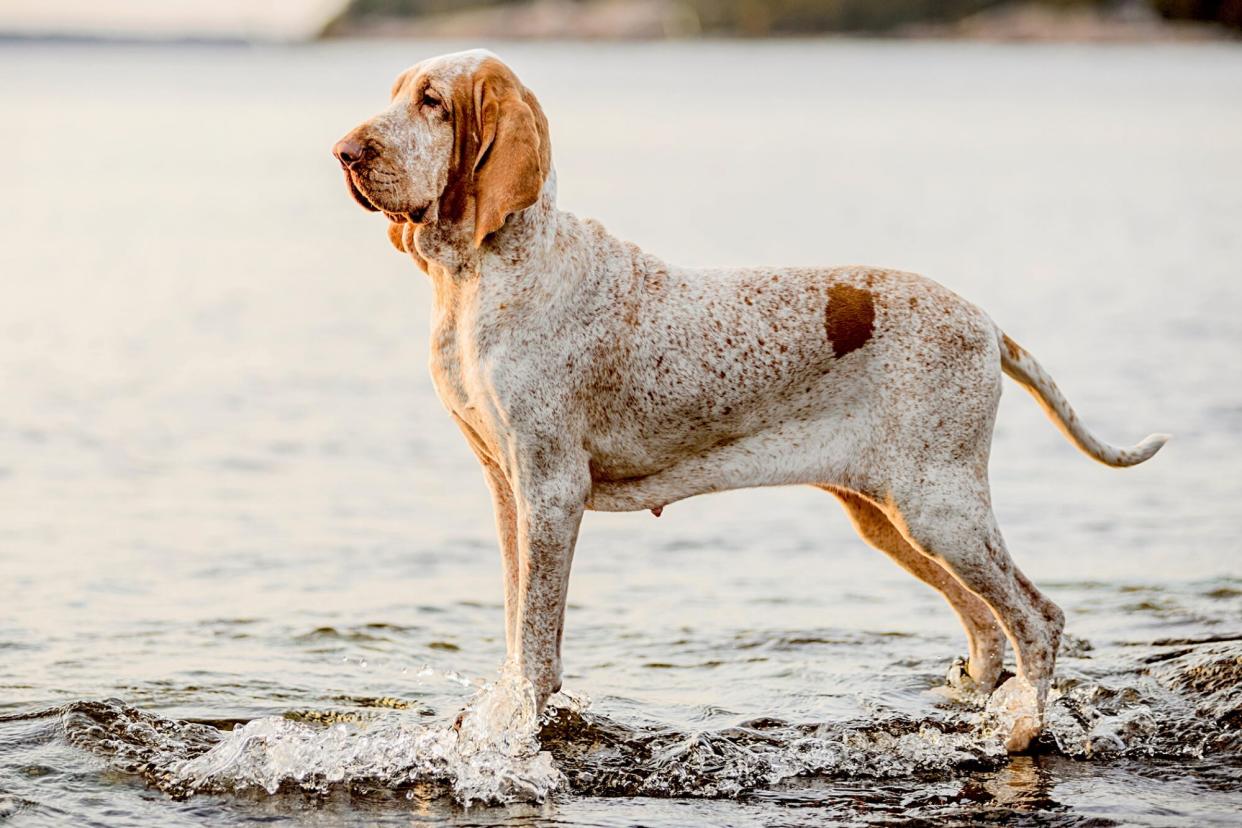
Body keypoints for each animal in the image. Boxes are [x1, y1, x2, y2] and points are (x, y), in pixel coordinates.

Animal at [330, 48, 1162, 754]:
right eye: (398, 93)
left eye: (433, 101)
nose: (344, 151)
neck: (485, 274)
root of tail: (987, 324)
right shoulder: (508, 488)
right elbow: (514, 625)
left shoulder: (551, 490)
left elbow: (536, 644)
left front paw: (516, 734)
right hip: (891, 514)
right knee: (988, 627)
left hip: (940, 505)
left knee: (1038, 619)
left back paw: (1019, 731)